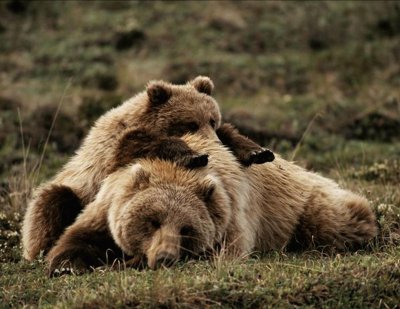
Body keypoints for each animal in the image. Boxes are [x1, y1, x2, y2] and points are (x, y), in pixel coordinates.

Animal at [22, 75, 276, 260]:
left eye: (213, 120)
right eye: (190, 123)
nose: (213, 144)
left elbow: (232, 136)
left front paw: (258, 152)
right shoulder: (113, 151)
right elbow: (140, 145)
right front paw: (194, 156)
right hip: (73, 190)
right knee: (52, 201)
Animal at [45, 133, 376, 274]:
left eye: (186, 229)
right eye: (152, 221)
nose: (164, 257)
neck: (174, 169)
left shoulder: (230, 214)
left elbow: (222, 255)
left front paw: (126, 262)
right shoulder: (107, 204)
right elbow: (77, 240)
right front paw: (68, 266)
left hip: (304, 204)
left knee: (334, 220)